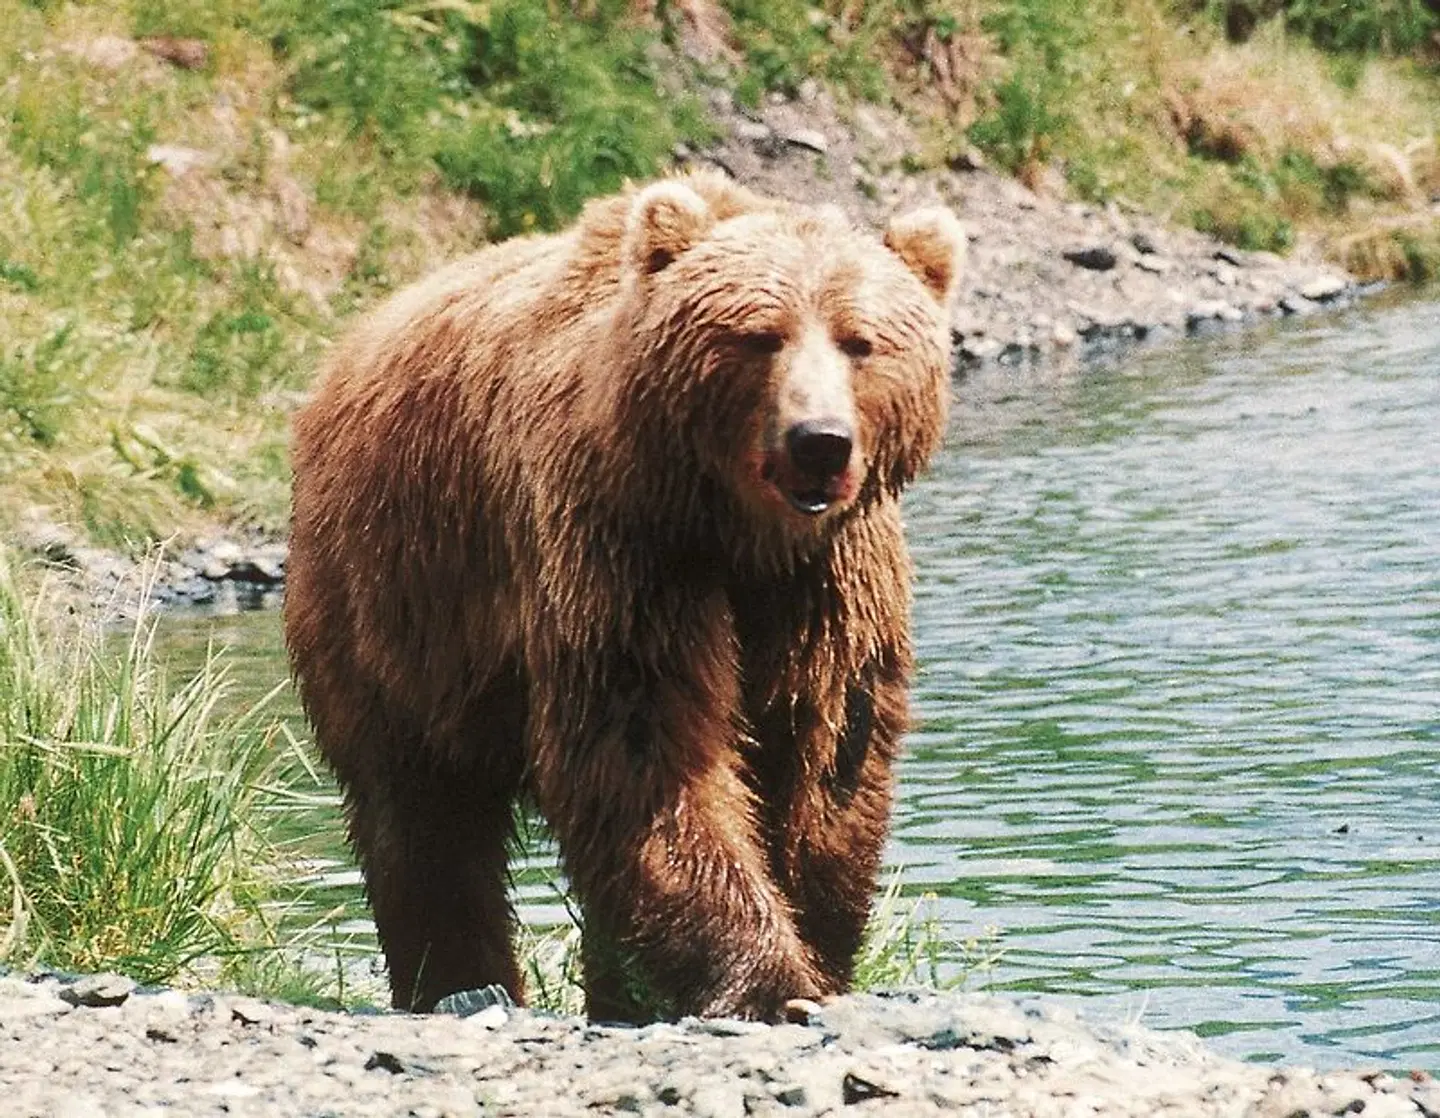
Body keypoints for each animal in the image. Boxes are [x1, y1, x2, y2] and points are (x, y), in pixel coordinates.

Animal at [284, 171, 963, 1021]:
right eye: (760, 335)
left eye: (860, 341)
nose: (819, 441)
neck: (740, 534)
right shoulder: (622, 548)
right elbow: (647, 749)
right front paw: (768, 981)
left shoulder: (829, 585)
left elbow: (827, 756)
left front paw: (817, 949)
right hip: (390, 603)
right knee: (421, 817)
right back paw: (459, 981)